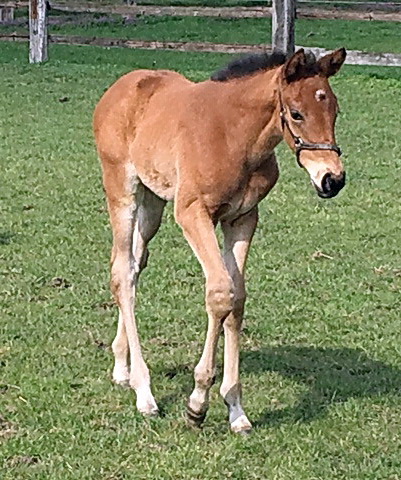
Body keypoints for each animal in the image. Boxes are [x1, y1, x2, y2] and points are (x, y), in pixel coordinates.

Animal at [94, 47, 346, 434]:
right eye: (297, 113)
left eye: (335, 109)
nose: (333, 179)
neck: (236, 137)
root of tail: (120, 87)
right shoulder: (192, 213)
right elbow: (220, 293)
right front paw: (197, 403)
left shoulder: (243, 218)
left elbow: (237, 299)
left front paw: (236, 409)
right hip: (122, 190)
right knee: (121, 272)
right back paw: (144, 392)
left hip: (153, 201)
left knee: (135, 266)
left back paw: (122, 368)